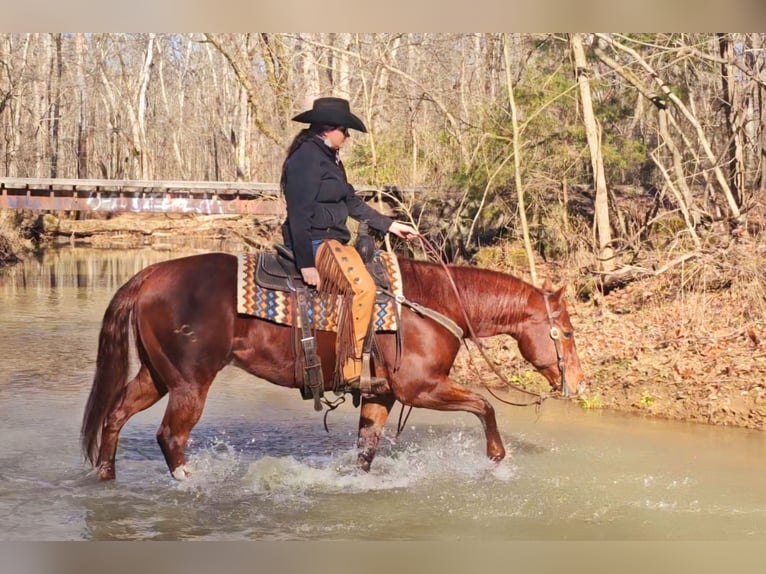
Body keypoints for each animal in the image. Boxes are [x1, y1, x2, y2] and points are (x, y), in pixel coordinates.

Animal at [79, 252, 588, 482]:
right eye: (564, 331)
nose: (579, 383)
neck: (432, 304)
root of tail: (150, 274)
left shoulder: (383, 396)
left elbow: (366, 450)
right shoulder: (419, 387)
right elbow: (485, 406)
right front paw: (497, 459)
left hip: (156, 376)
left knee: (115, 416)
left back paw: (106, 477)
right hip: (190, 383)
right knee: (171, 436)